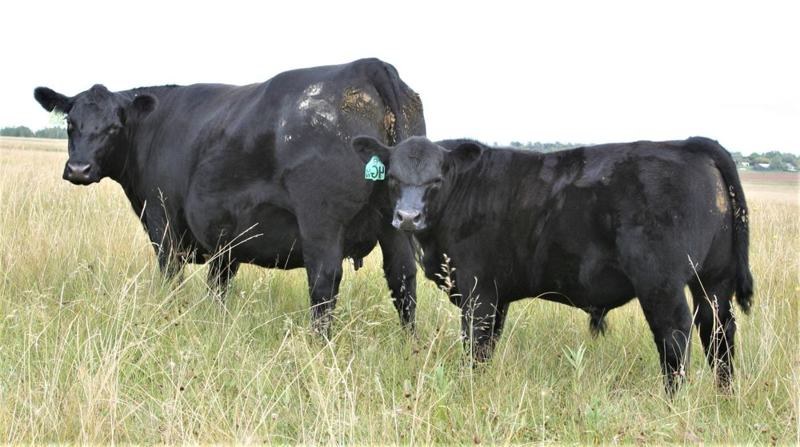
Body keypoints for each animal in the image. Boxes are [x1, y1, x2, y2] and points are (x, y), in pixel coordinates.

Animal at [33, 58, 426, 335]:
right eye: (70, 123)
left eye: (115, 127)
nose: (79, 169)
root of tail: (366, 64)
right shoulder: (228, 237)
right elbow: (218, 287)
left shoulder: (161, 221)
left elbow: (171, 277)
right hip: (397, 226)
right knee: (403, 279)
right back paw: (409, 346)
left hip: (321, 223)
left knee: (324, 281)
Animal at [351, 135, 753, 394]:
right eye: (392, 177)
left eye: (436, 180)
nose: (407, 217)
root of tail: (685, 144)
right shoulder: (497, 295)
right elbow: (488, 344)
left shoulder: (478, 289)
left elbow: (475, 345)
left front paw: (469, 387)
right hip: (713, 280)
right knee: (718, 330)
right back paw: (724, 393)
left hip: (660, 283)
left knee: (675, 334)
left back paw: (673, 400)